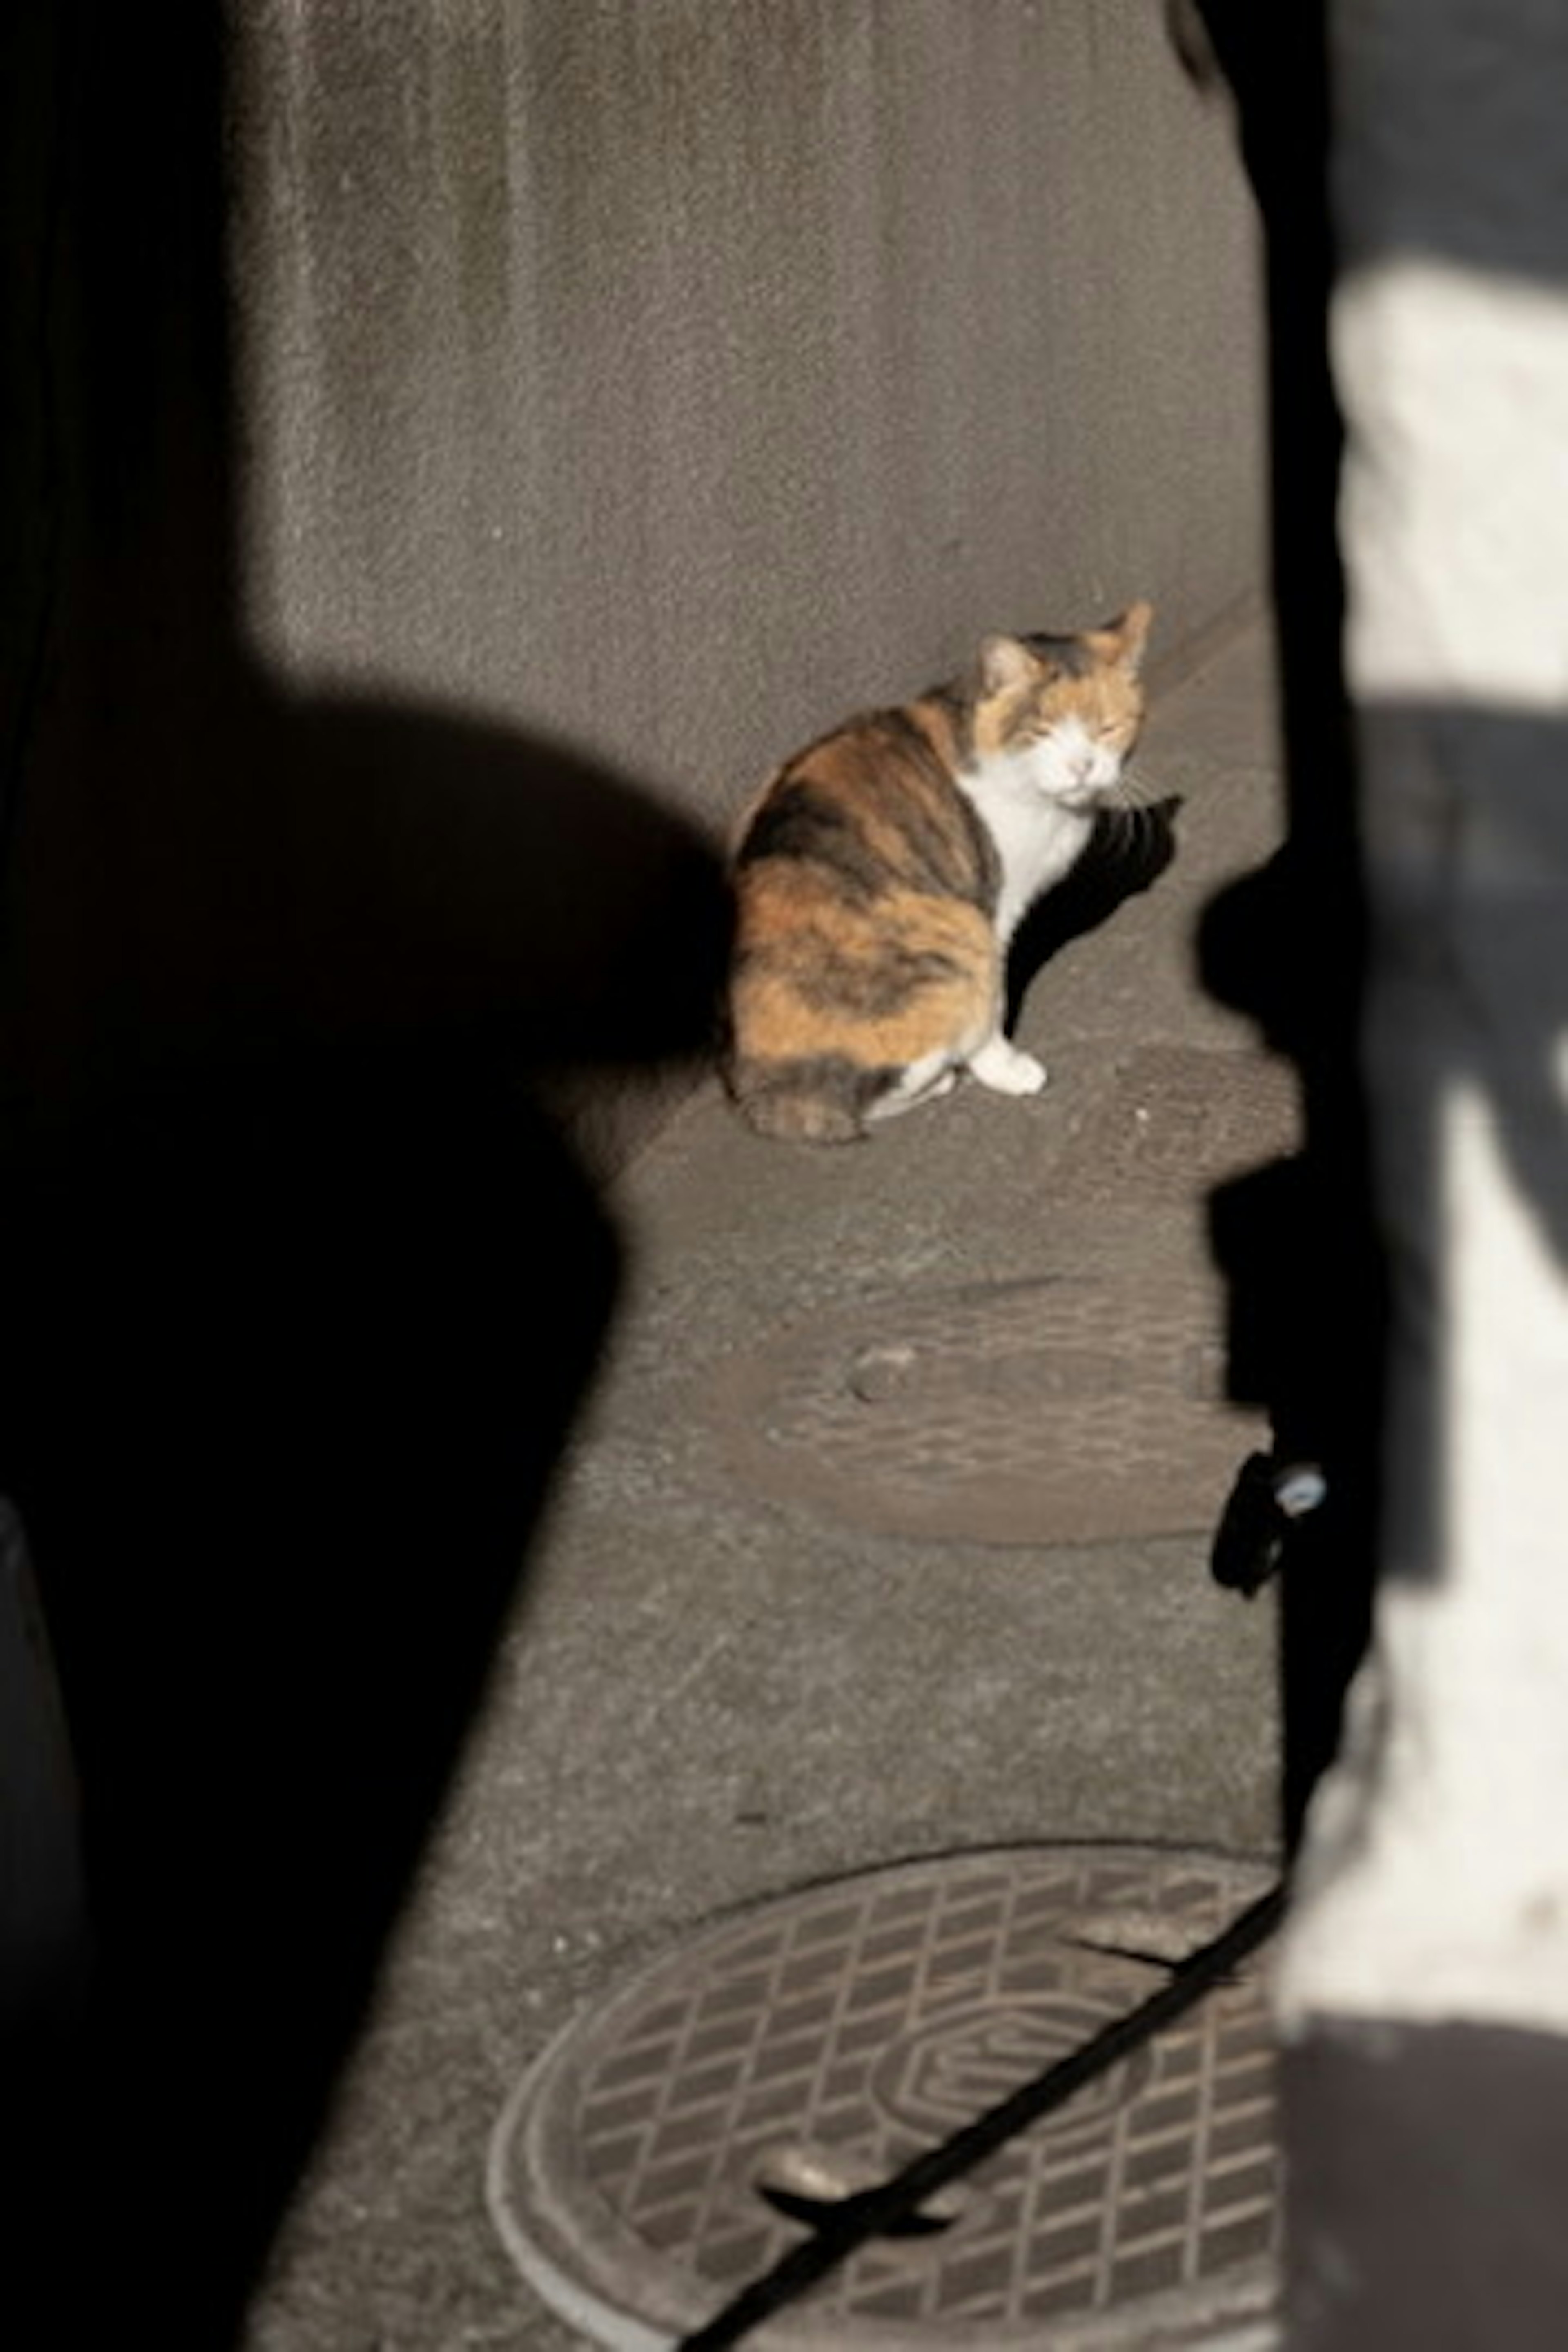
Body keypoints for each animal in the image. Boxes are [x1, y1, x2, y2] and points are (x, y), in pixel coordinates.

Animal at [724, 602, 1152, 1143]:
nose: (1082, 766)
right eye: (1042, 731)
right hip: (956, 939)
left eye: (1107, 728)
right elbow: (993, 1009)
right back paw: (943, 1080)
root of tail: (756, 1092)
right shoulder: (990, 922)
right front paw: (1008, 1070)